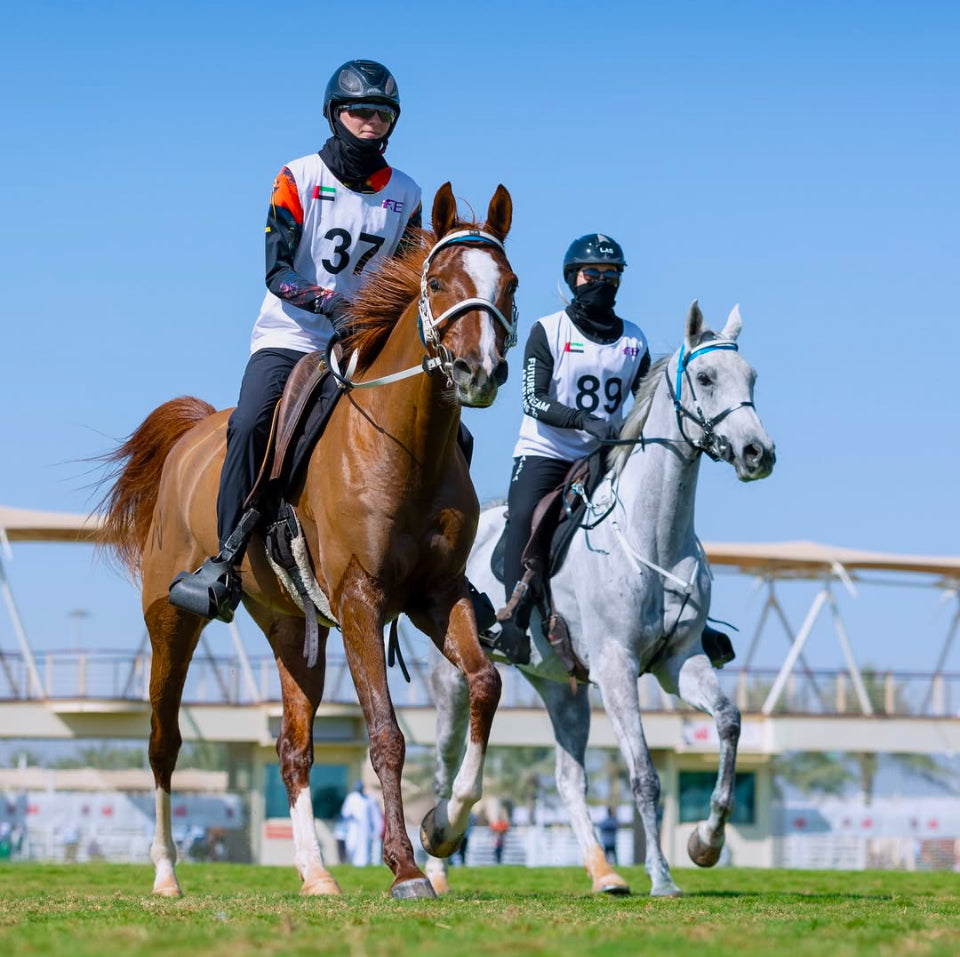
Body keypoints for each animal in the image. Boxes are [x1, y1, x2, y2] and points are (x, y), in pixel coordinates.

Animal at [95, 183, 516, 900]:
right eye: (436, 282)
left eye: (509, 284)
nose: (477, 372)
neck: (404, 446)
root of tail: (188, 435)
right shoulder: (360, 603)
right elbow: (385, 734)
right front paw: (407, 867)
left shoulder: (436, 596)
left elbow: (485, 684)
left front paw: (443, 826)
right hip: (170, 623)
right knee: (162, 742)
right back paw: (166, 872)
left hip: (291, 628)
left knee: (293, 748)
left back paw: (316, 872)